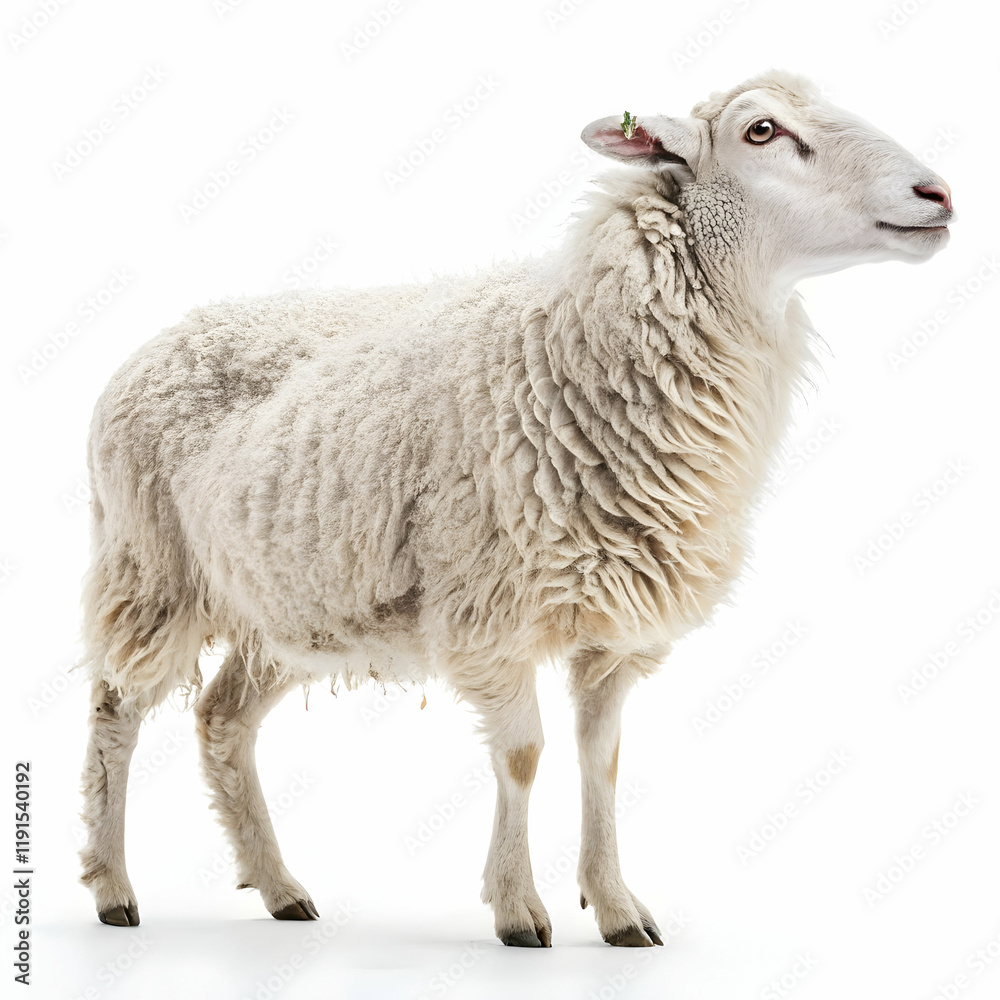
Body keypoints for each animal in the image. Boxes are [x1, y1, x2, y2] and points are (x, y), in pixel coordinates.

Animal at [78, 69, 953, 948]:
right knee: (116, 709)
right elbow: (525, 756)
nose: (938, 193)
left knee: (222, 719)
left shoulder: (614, 623)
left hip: (288, 603)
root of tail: (163, 336)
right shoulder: (488, 611)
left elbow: (602, 760)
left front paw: (617, 908)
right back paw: (113, 888)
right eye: (762, 131)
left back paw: (279, 887)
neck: (572, 352)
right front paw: (518, 908)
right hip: (150, 570)